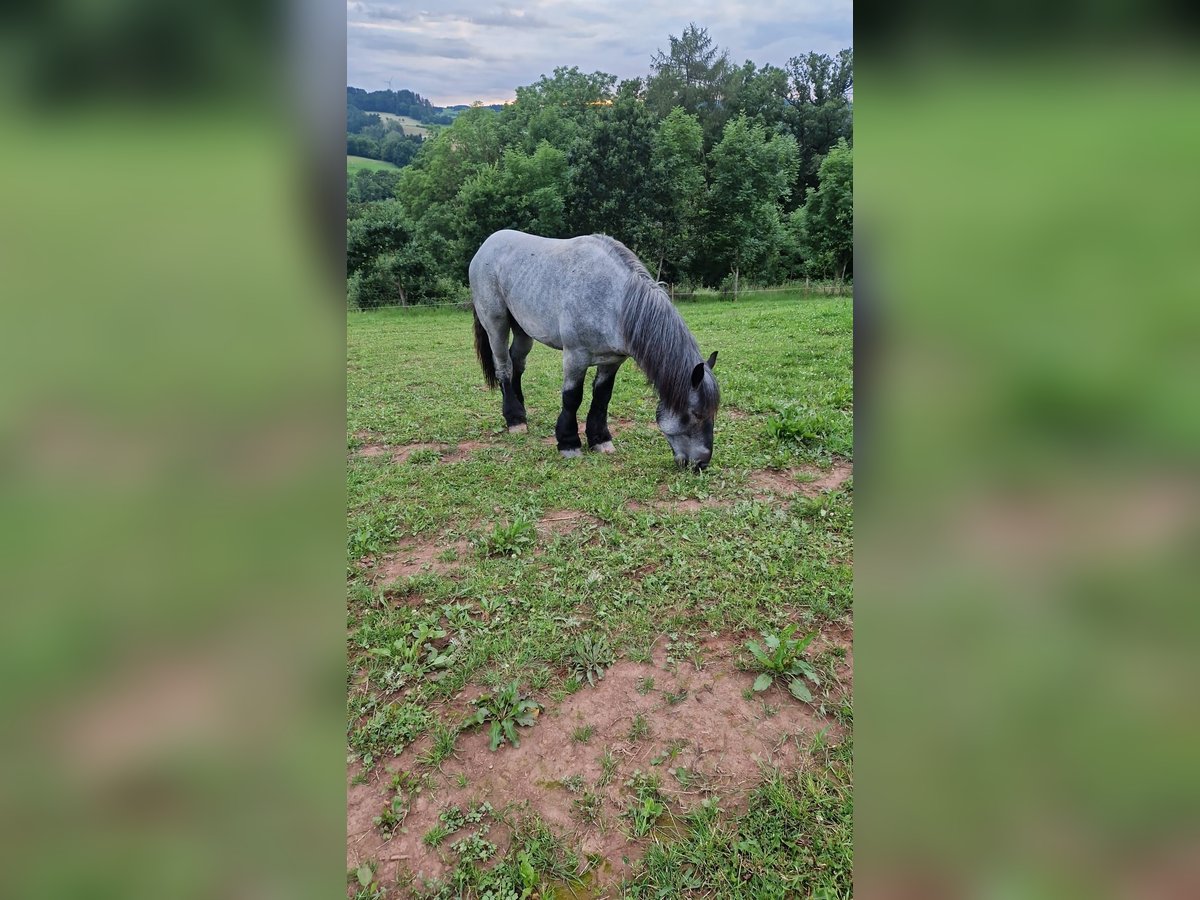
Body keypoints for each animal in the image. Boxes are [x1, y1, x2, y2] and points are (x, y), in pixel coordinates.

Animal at [470, 229, 720, 472]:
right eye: (696, 414)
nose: (701, 464)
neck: (613, 299)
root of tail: (486, 245)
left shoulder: (612, 361)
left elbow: (602, 397)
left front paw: (600, 440)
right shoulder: (575, 356)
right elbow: (572, 397)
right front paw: (569, 443)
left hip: (523, 330)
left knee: (517, 363)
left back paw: (521, 411)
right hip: (496, 323)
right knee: (504, 366)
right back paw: (514, 420)